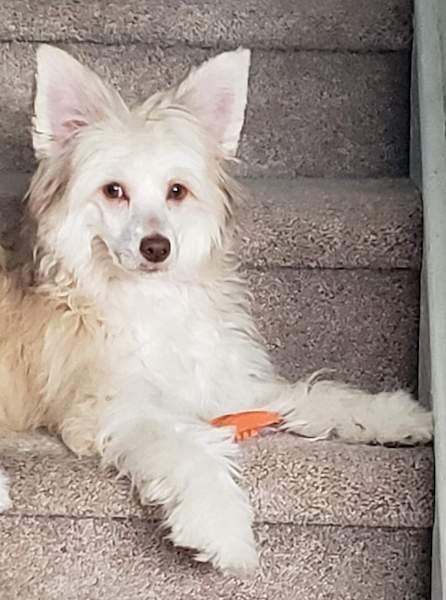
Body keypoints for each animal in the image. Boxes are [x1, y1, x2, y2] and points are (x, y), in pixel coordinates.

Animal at [0, 45, 432, 572]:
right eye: (113, 190)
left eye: (177, 191)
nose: (156, 247)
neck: (152, 300)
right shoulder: (110, 407)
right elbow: (188, 445)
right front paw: (221, 527)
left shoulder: (218, 381)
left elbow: (311, 395)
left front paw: (395, 416)